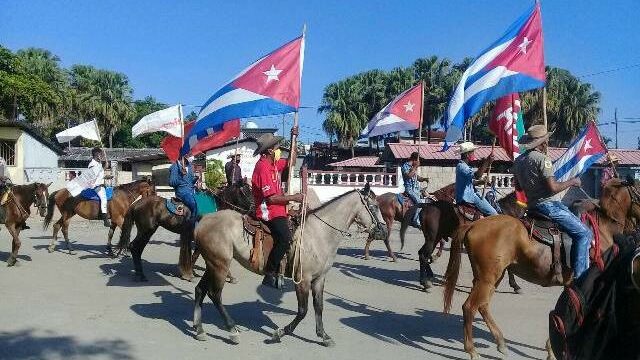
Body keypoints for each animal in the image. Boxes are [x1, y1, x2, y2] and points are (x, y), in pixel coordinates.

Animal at [117, 184, 252, 282]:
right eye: (245, 192)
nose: (253, 208)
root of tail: (136, 204)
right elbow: (198, 256)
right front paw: (189, 273)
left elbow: (195, 256)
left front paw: (189, 272)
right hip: (146, 231)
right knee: (135, 247)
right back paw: (140, 275)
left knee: (136, 249)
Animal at [192, 186, 388, 346]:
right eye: (374, 206)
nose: (384, 230)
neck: (319, 233)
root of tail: (204, 220)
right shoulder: (303, 280)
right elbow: (303, 310)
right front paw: (279, 333)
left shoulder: (319, 279)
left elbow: (319, 307)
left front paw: (323, 335)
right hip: (220, 265)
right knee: (215, 294)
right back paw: (232, 330)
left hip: (212, 264)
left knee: (200, 290)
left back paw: (199, 329)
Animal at [442, 179, 640, 360]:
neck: (603, 229)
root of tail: (473, 225)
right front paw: (552, 351)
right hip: (487, 278)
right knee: (469, 307)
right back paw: (472, 350)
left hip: (492, 277)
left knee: (482, 306)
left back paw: (500, 342)